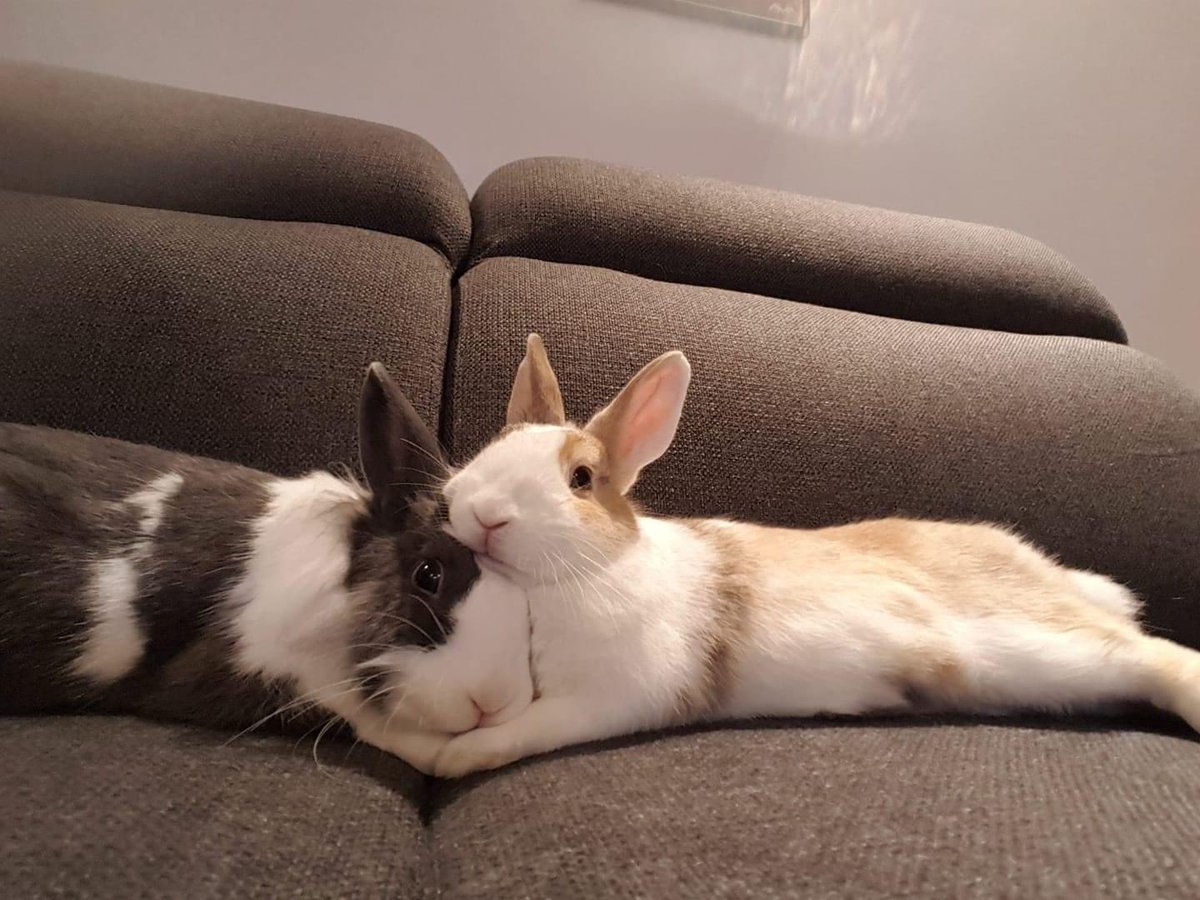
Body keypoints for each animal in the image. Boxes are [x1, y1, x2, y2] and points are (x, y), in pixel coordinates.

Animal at [431, 334, 1200, 777]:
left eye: (582, 479)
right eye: (495, 446)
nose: (483, 513)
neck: (572, 579)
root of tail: (1048, 572)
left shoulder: (606, 697)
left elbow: (526, 730)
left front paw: (452, 755)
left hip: (1033, 638)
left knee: (1157, 655)